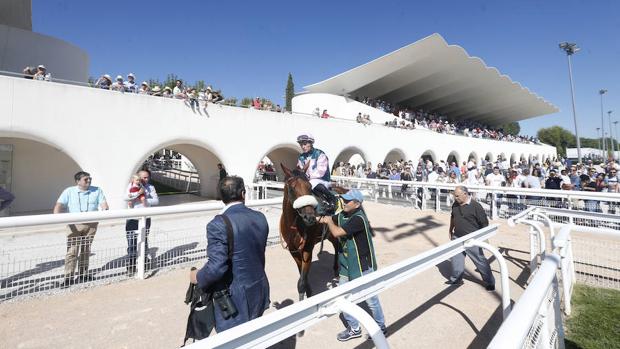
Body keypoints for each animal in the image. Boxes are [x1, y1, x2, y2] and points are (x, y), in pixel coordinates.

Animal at [280, 164, 340, 300]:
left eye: (309, 186)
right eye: (292, 188)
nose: (310, 217)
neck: (294, 225)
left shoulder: (307, 248)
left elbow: (301, 283)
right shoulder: (293, 250)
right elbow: (302, 276)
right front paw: (309, 290)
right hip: (330, 233)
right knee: (336, 245)